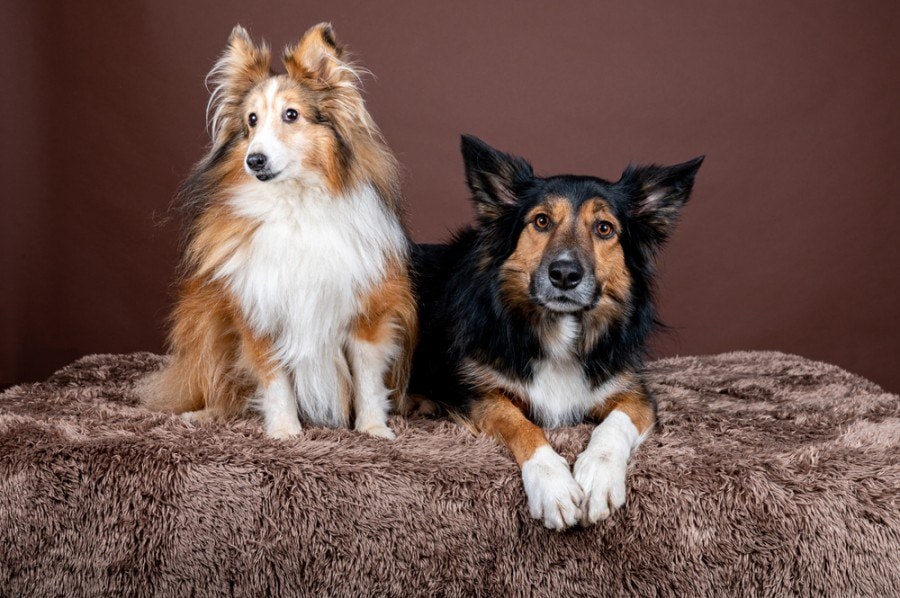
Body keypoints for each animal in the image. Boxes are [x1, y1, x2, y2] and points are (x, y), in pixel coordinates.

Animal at [140, 23, 414, 440]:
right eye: (251, 120)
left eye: (291, 114)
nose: (255, 160)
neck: (294, 206)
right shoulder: (259, 311)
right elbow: (274, 380)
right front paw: (285, 432)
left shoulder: (367, 310)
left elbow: (367, 377)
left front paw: (373, 428)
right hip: (205, 319)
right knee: (221, 387)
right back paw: (203, 414)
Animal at [410, 136, 704, 528]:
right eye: (542, 221)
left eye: (604, 228)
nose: (564, 274)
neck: (561, 328)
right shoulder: (479, 394)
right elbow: (522, 425)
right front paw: (553, 485)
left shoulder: (635, 392)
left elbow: (615, 423)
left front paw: (598, 476)